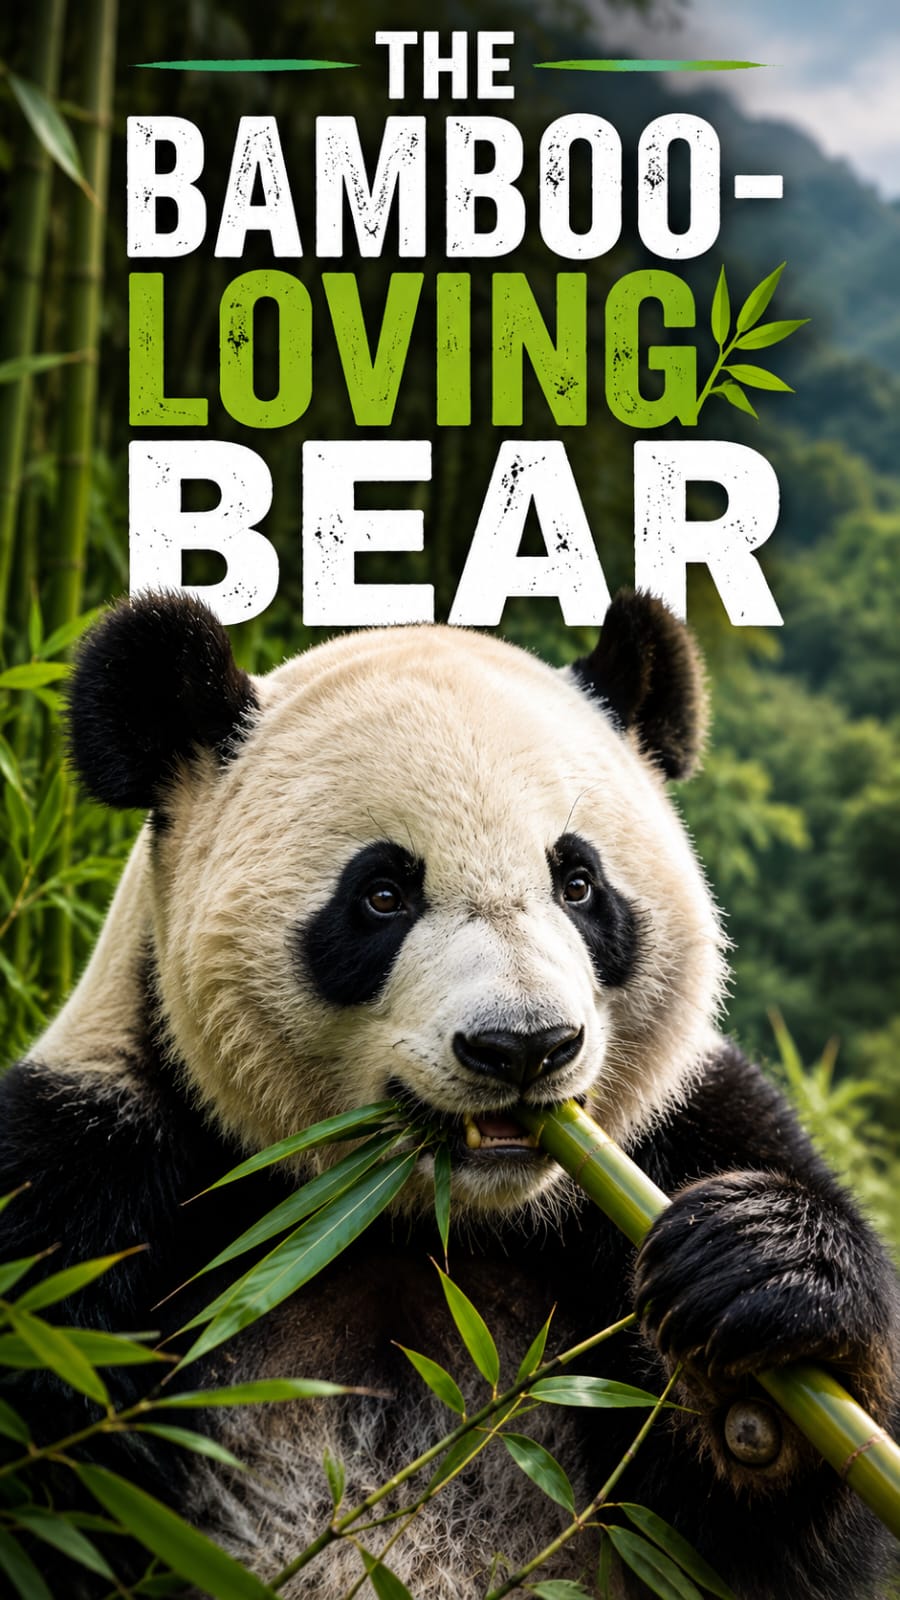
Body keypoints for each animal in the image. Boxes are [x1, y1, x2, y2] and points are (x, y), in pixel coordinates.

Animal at [0, 589, 897, 1600]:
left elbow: (754, 1540)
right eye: (383, 895)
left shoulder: (680, 1133)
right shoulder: (91, 1188)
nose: (525, 1047)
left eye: (578, 883)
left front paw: (758, 1300)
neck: (419, 1219)